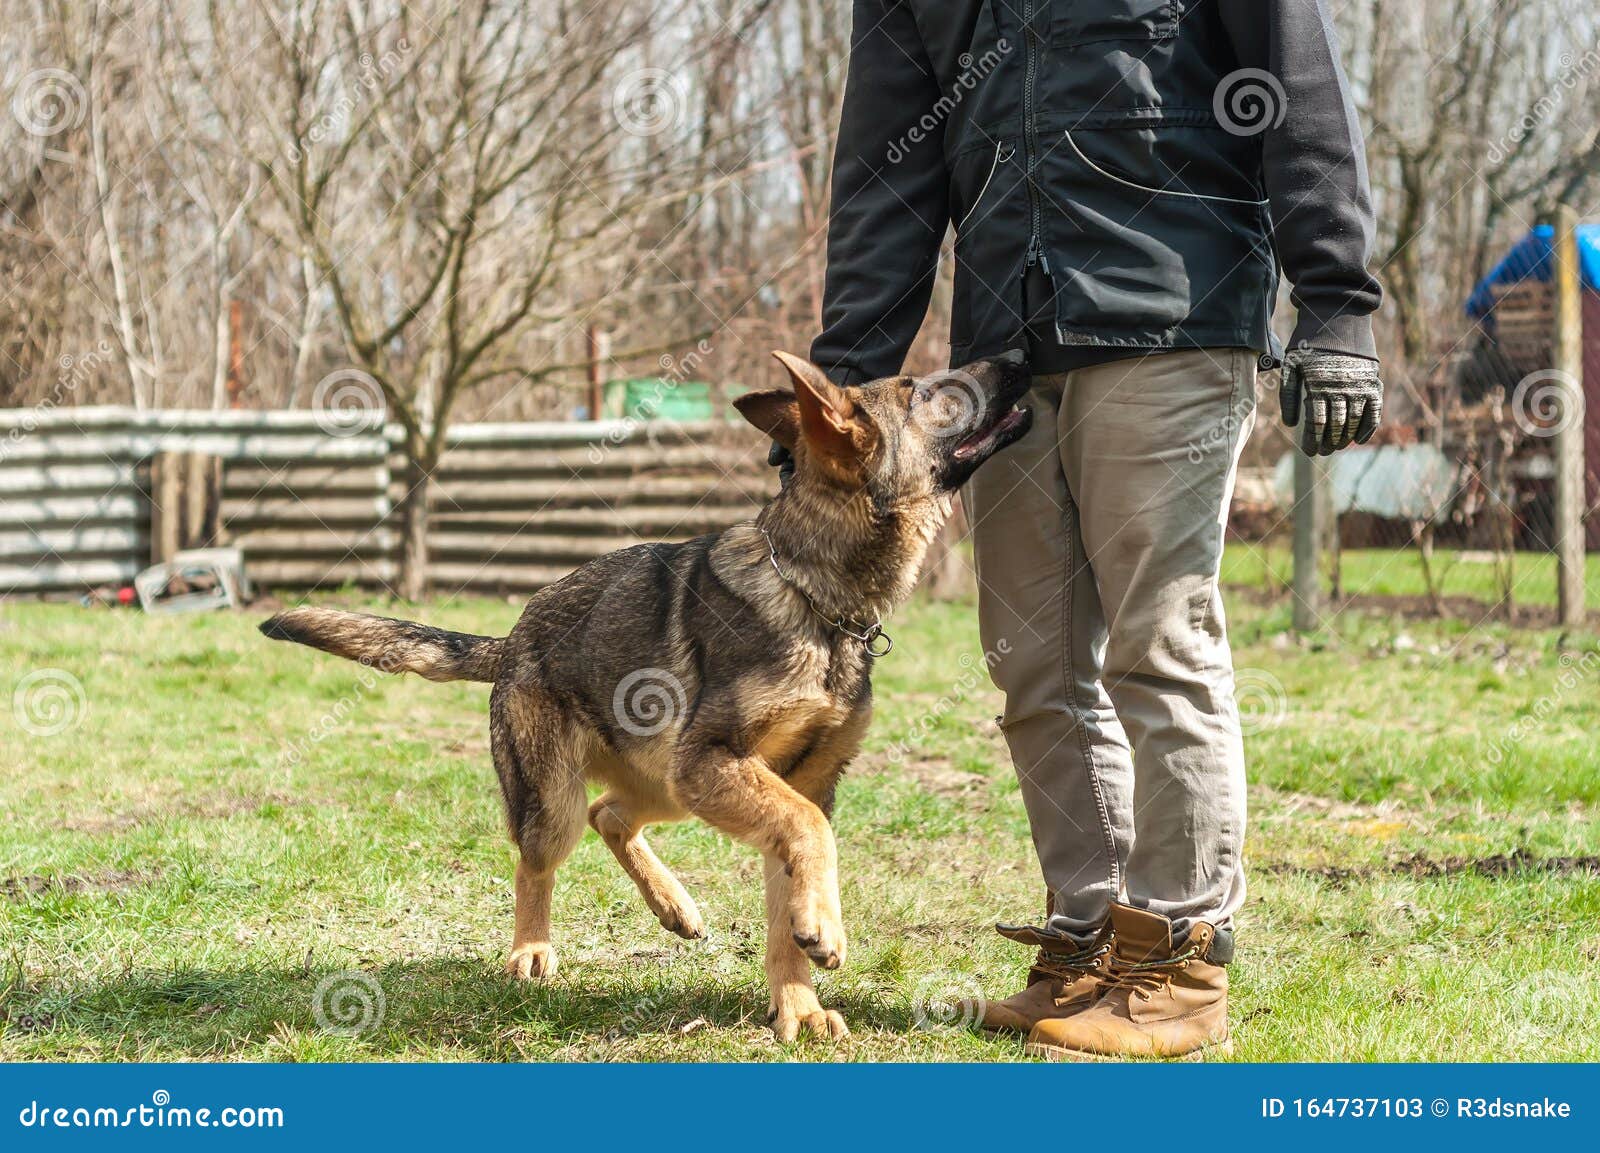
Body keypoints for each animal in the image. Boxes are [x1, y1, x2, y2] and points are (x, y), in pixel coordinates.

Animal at [259, 347, 1036, 1036]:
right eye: (923, 390)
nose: (1022, 355)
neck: (815, 596)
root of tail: (512, 638)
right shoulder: (731, 765)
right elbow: (812, 834)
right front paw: (823, 930)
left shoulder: (791, 781)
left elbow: (789, 887)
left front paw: (799, 1005)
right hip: (575, 794)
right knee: (538, 859)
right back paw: (530, 950)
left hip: (672, 784)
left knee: (610, 814)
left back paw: (674, 905)